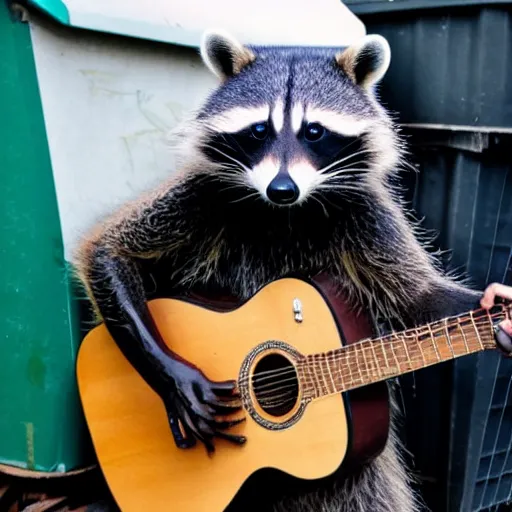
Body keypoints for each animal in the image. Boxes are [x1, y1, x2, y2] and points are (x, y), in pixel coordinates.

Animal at [74, 30, 510, 510]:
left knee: (370, 494)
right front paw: (177, 381)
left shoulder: (370, 214)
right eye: (259, 130)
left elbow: (416, 298)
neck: (285, 212)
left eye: (314, 131)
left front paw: (491, 307)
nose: (281, 188)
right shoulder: (202, 192)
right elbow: (108, 250)